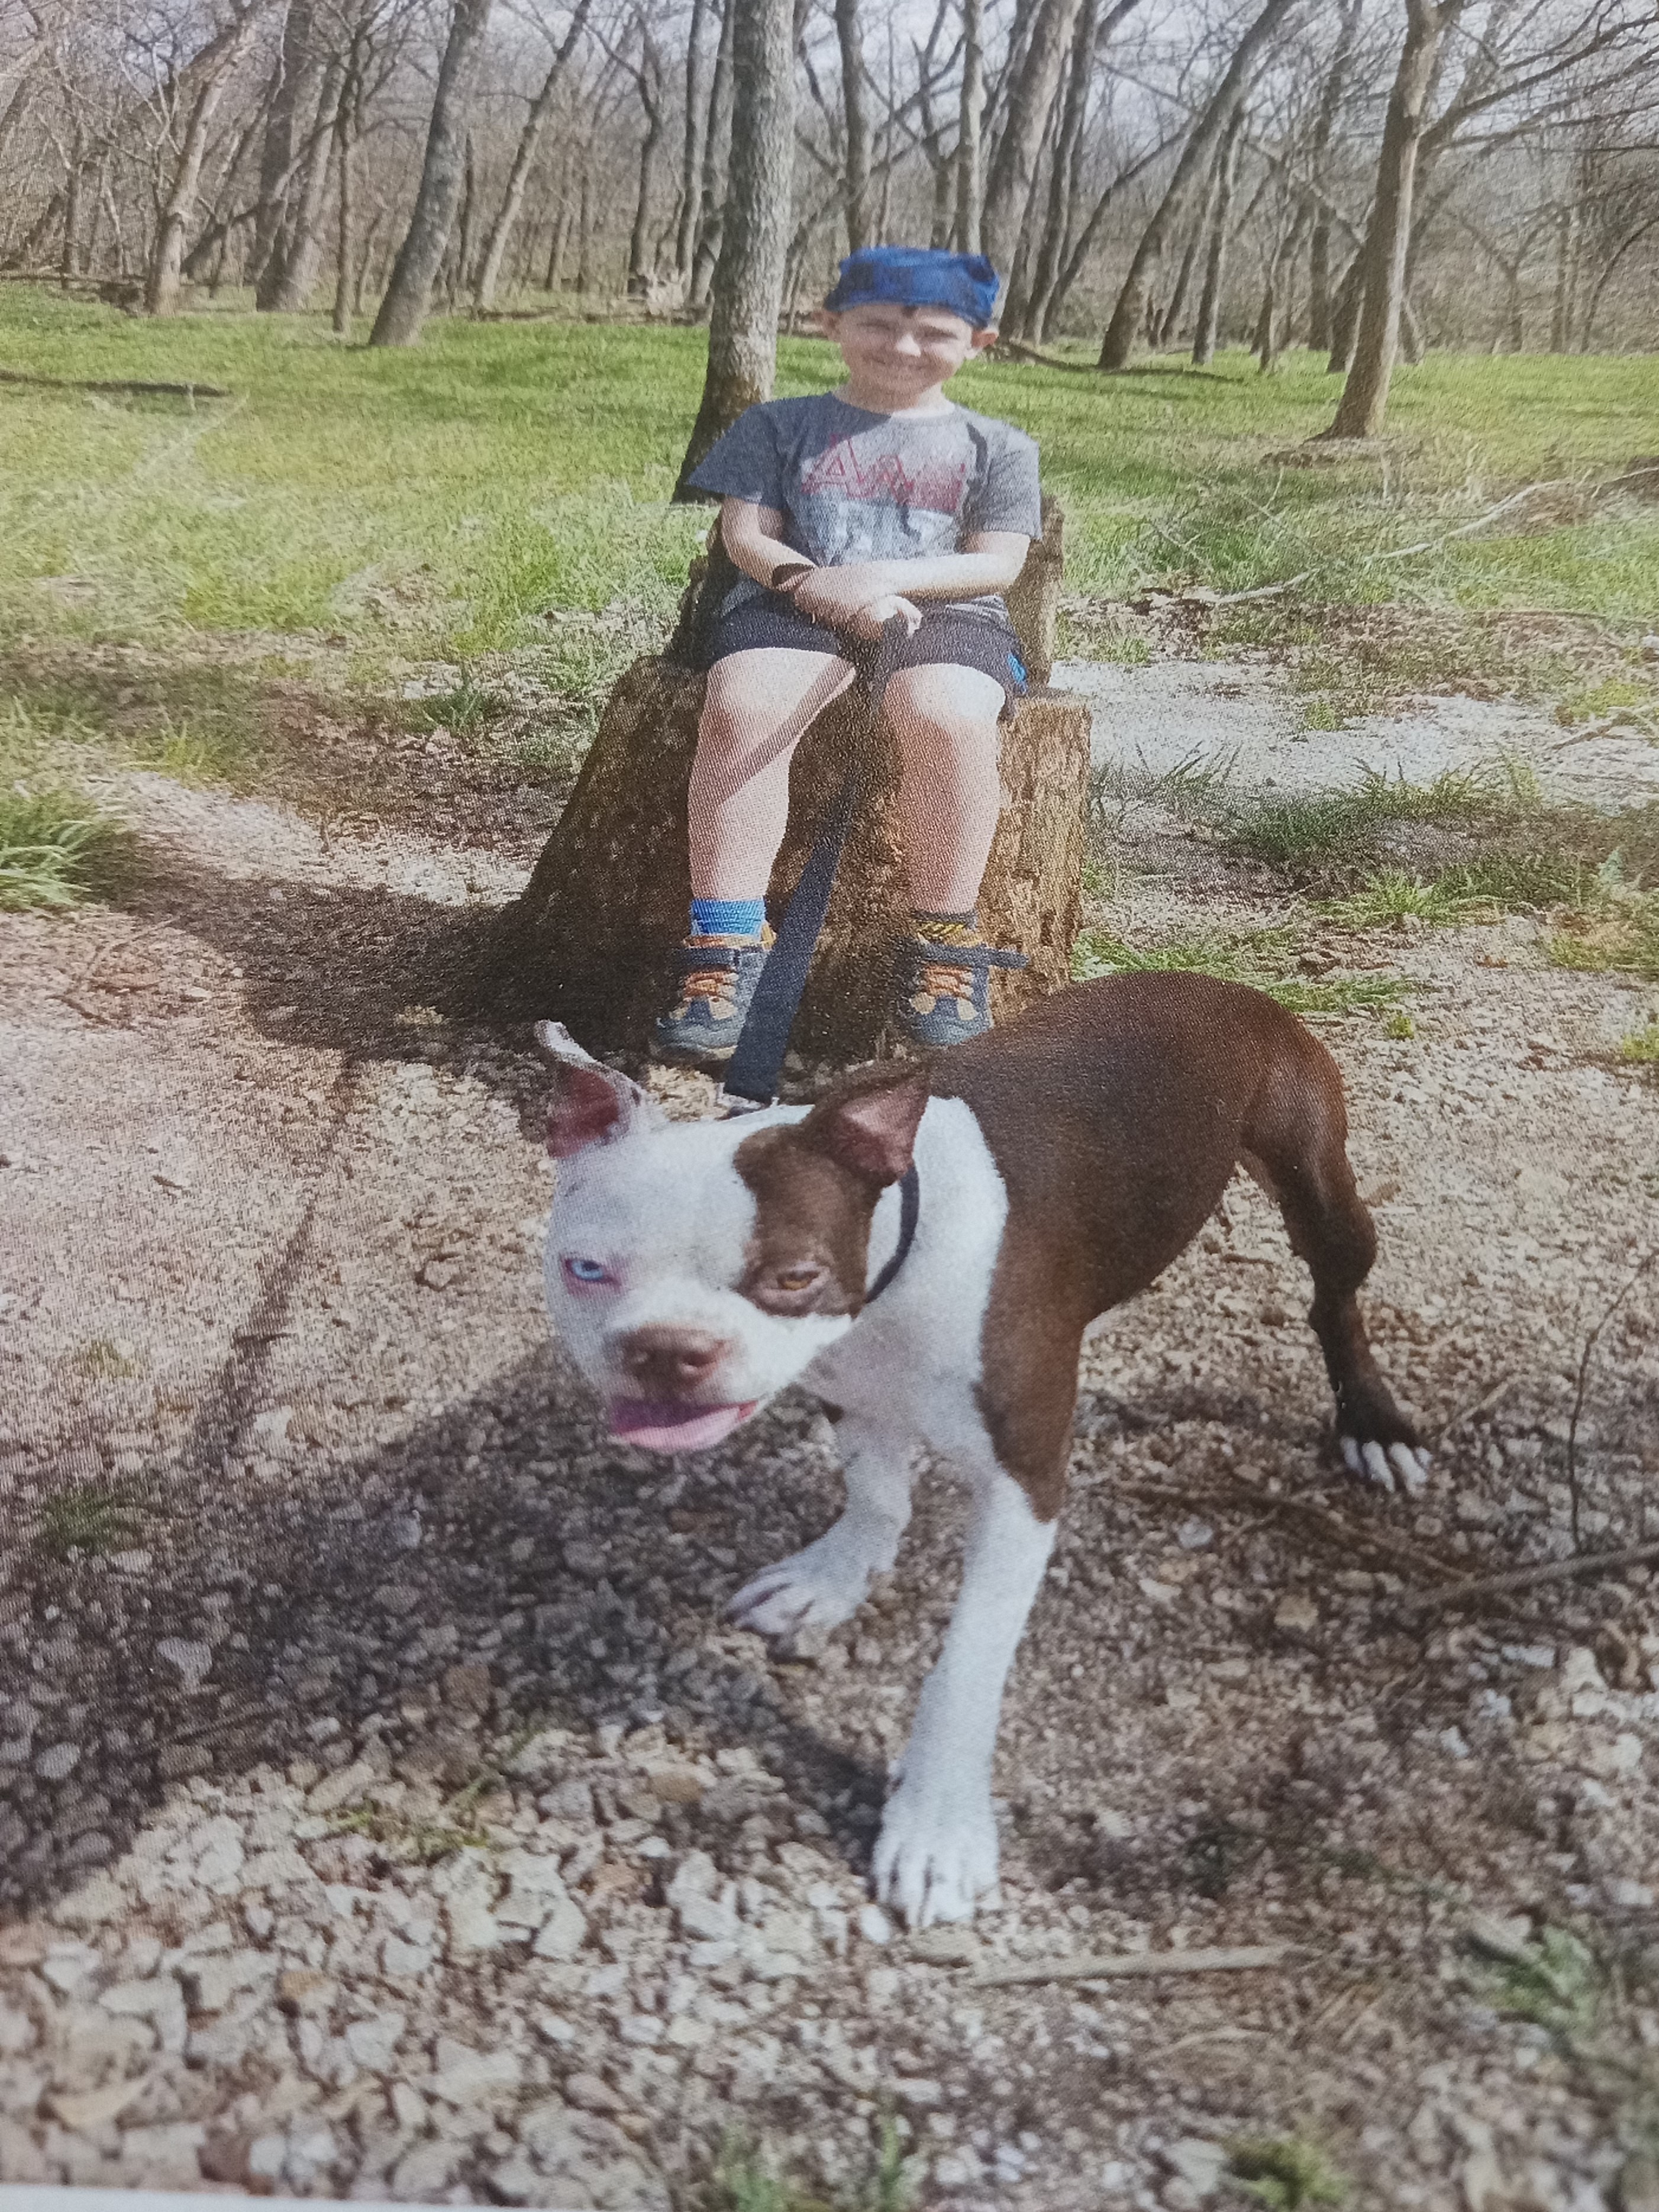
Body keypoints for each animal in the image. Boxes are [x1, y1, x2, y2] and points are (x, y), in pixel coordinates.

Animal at [535, 977, 1433, 1929]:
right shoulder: (848, 1387)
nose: (667, 1350)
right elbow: (877, 1494)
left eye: (793, 1277)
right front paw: (832, 1579)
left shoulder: (1021, 1484)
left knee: (1334, 1297)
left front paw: (936, 1828)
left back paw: (1374, 1422)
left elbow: (964, 1662)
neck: (897, 1253)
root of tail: (1213, 985)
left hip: (1318, 1180)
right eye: (584, 1268)